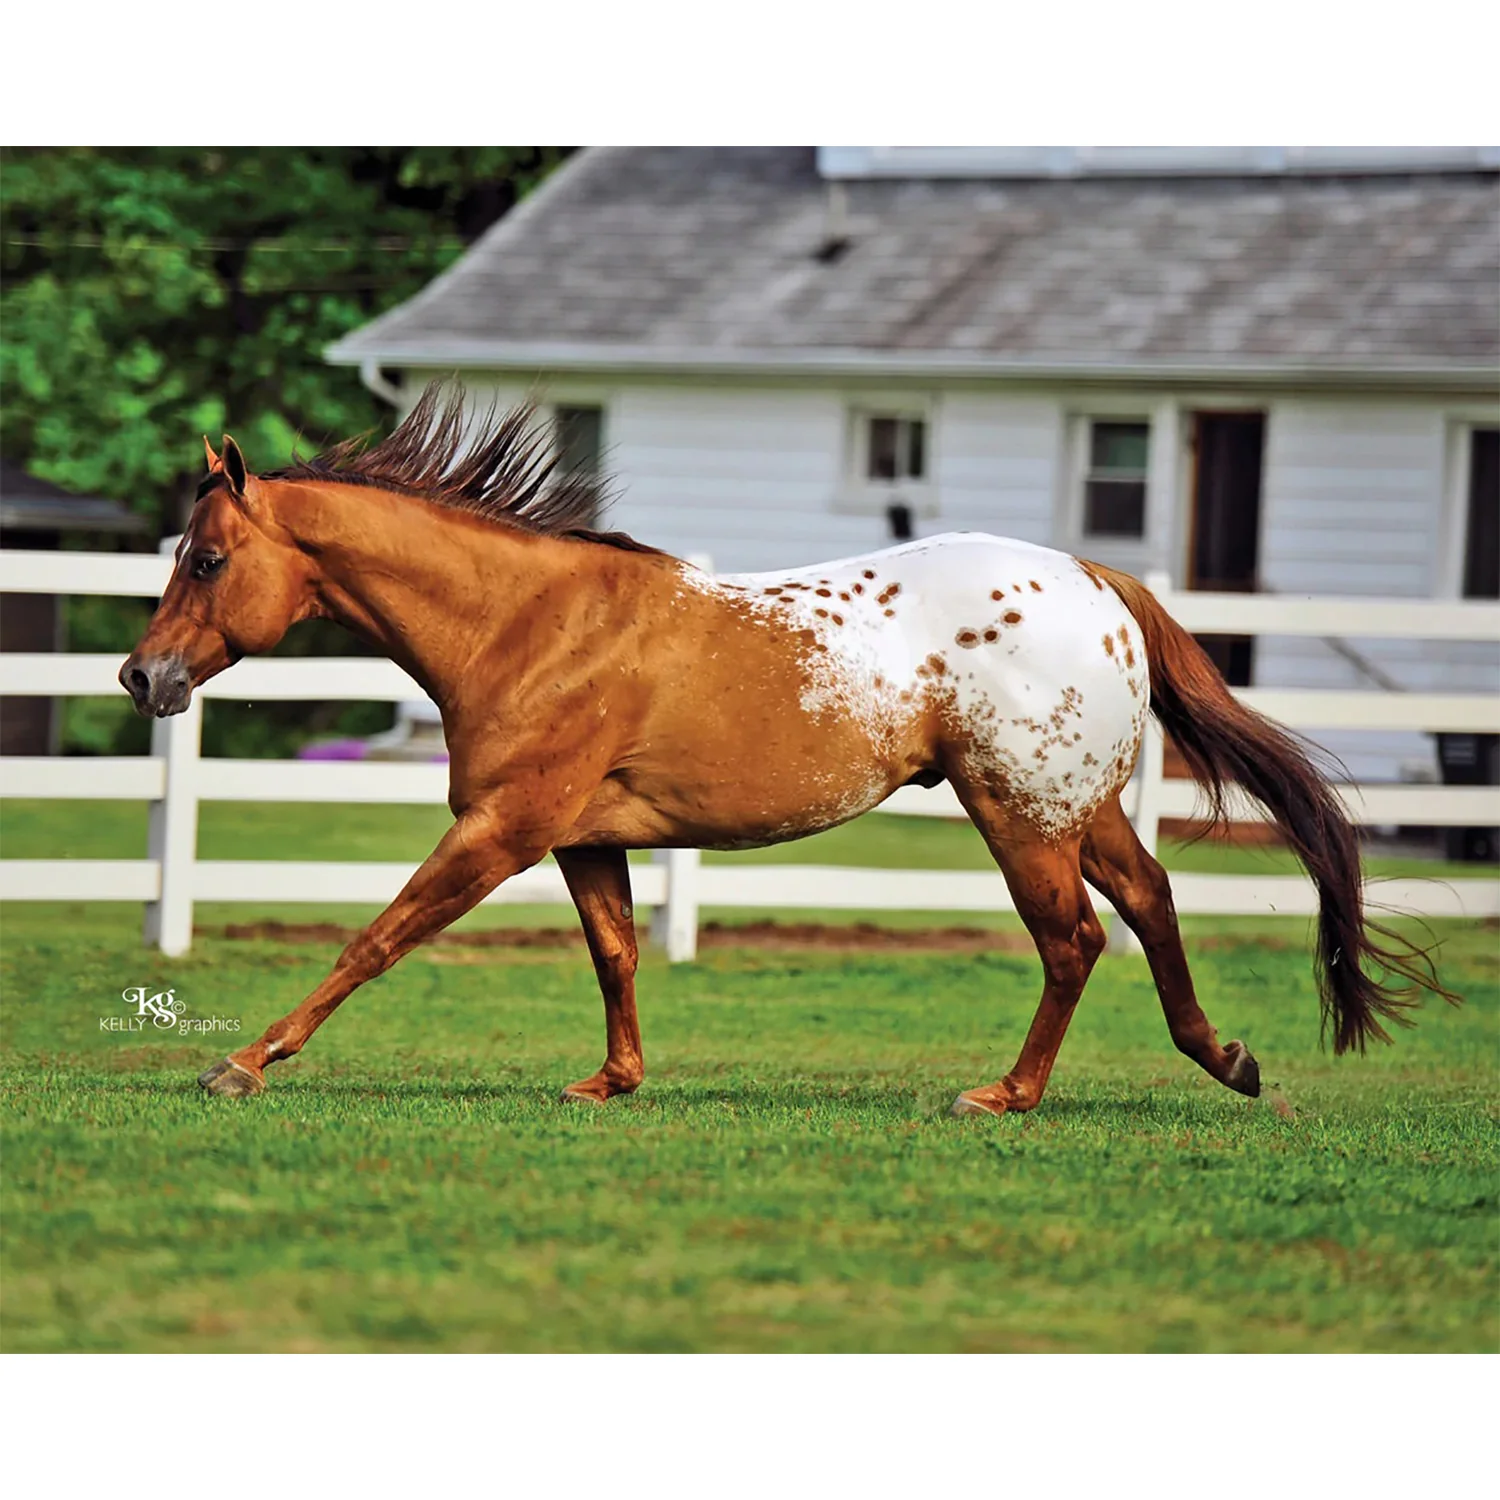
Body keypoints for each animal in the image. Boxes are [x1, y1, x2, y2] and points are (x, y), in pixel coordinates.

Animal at [119, 383, 1451, 1114]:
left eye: (208, 558)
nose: (142, 677)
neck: (528, 622)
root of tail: (1096, 577)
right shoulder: (584, 839)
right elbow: (616, 954)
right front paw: (612, 1082)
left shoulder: (501, 831)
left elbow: (379, 937)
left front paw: (245, 1061)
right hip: (1079, 805)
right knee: (1152, 902)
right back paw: (1223, 1058)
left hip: (1018, 814)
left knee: (1073, 939)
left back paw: (1008, 1095)